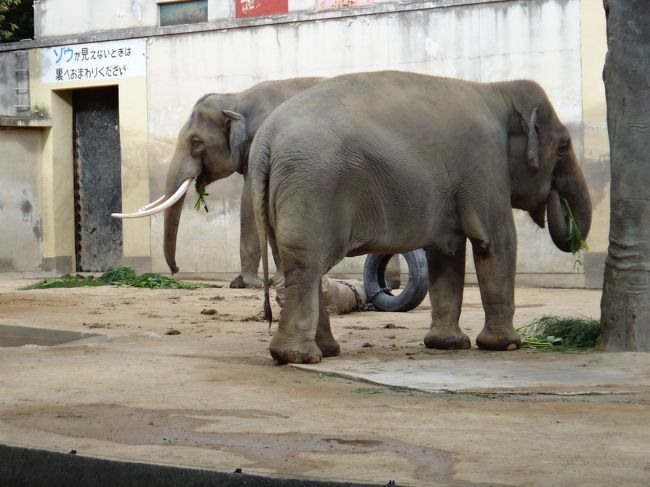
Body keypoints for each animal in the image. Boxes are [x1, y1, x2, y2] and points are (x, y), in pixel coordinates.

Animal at [115, 78, 322, 288]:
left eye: (196, 142)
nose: (176, 270)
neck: (236, 99)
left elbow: (250, 199)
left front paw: (247, 283)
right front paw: (275, 282)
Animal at [251, 70, 588, 364]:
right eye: (562, 148)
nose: (556, 202)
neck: (498, 91)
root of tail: (264, 140)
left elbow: (445, 254)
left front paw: (448, 345)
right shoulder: (484, 165)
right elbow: (495, 242)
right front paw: (506, 345)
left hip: (284, 195)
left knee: (295, 265)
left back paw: (326, 351)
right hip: (312, 188)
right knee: (306, 266)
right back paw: (299, 356)